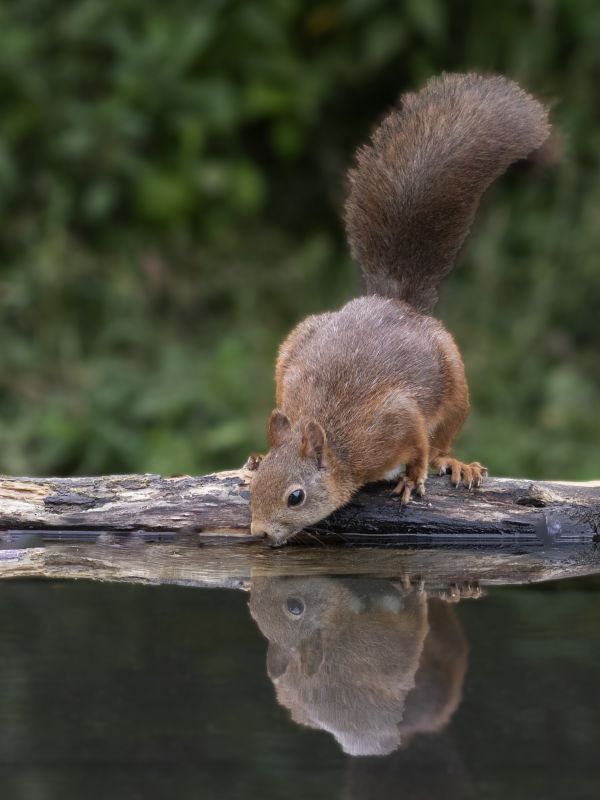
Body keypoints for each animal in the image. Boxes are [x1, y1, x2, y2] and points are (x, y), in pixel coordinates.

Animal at [246, 73, 552, 544]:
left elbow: (419, 447)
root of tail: (393, 300)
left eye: (295, 497)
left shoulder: (395, 418)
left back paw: (455, 463)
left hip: (456, 387)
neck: (338, 442)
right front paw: (257, 461)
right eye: (256, 491)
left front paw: (413, 477)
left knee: (441, 441)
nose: (259, 533)